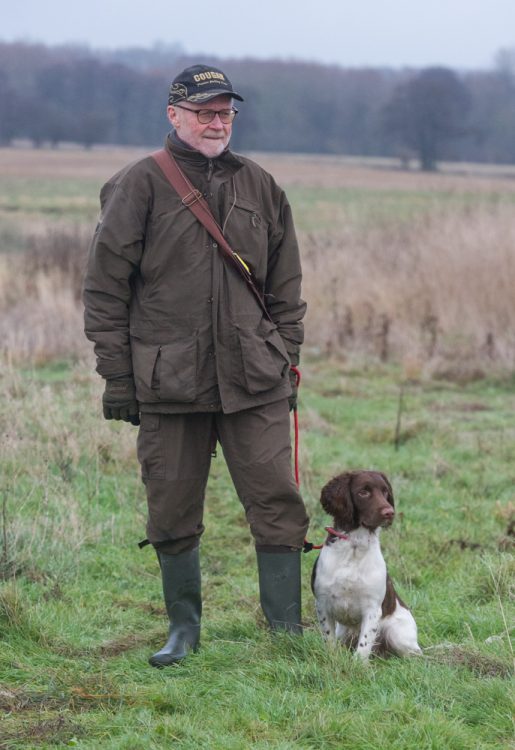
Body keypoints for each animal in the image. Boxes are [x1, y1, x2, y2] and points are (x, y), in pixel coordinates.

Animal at [312, 472, 422, 660]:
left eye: (385, 492)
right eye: (363, 492)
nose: (390, 512)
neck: (355, 547)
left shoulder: (372, 609)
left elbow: (363, 646)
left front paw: (357, 665)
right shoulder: (322, 603)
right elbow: (329, 641)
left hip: (398, 635)